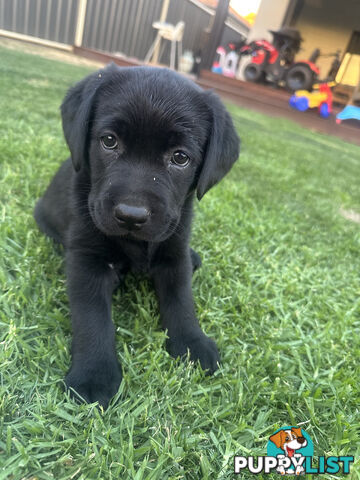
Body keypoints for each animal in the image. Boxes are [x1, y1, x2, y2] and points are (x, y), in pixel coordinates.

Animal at [34, 63, 239, 406]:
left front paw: (192, 343)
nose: (131, 215)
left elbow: (182, 300)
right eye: (109, 141)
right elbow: (92, 318)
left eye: (180, 157)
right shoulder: (86, 261)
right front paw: (93, 374)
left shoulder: (174, 252)